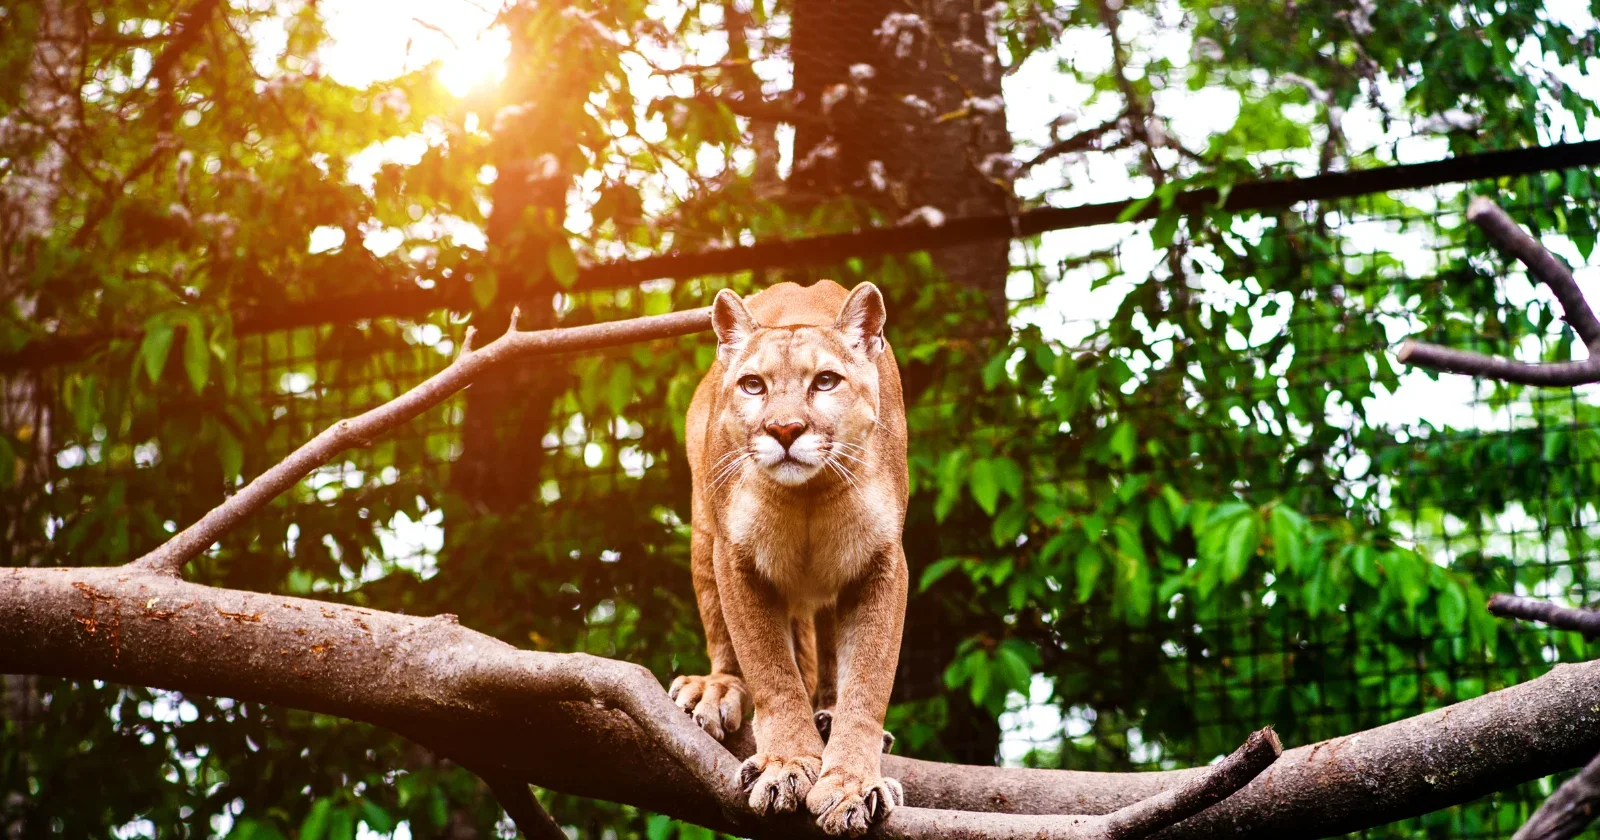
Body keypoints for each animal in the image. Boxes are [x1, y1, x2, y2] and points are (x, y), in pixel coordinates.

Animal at [669, 280, 909, 836]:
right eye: (753, 385)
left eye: (826, 381)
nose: (784, 430)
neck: (808, 498)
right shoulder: (736, 559)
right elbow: (772, 671)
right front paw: (788, 764)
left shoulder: (882, 563)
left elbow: (868, 681)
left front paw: (852, 783)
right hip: (703, 537)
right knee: (727, 641)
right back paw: (717, 689)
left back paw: (827, 714)